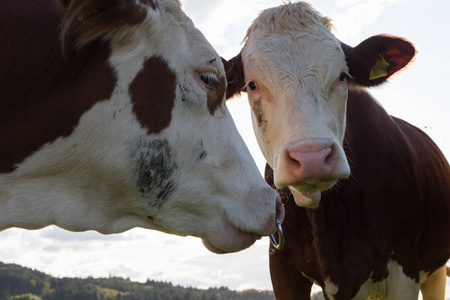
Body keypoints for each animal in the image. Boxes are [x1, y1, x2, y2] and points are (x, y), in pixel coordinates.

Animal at [223, 1, 448, 298]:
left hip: (435, 271)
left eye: (343, 76)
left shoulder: (405, 265)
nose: (312, 158)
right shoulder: (282, 266)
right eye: (251, 84)